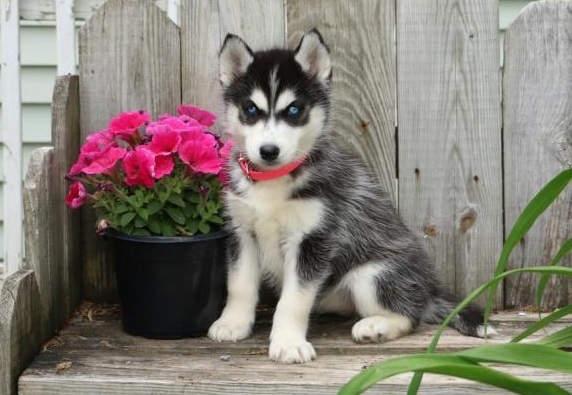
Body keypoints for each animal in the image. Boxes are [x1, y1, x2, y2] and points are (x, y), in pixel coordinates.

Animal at [208, 30, 494, 366]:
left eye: (294, 110)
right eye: (251, 109)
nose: (268, 151)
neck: (273, 182)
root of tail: (429, 290)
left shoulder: (313, 239)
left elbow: (294, 299)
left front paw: (289, 342)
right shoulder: (242, 233)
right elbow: (239, 284)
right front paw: (232, 323)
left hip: (372, 274)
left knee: (410, 317)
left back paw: (376, 327)